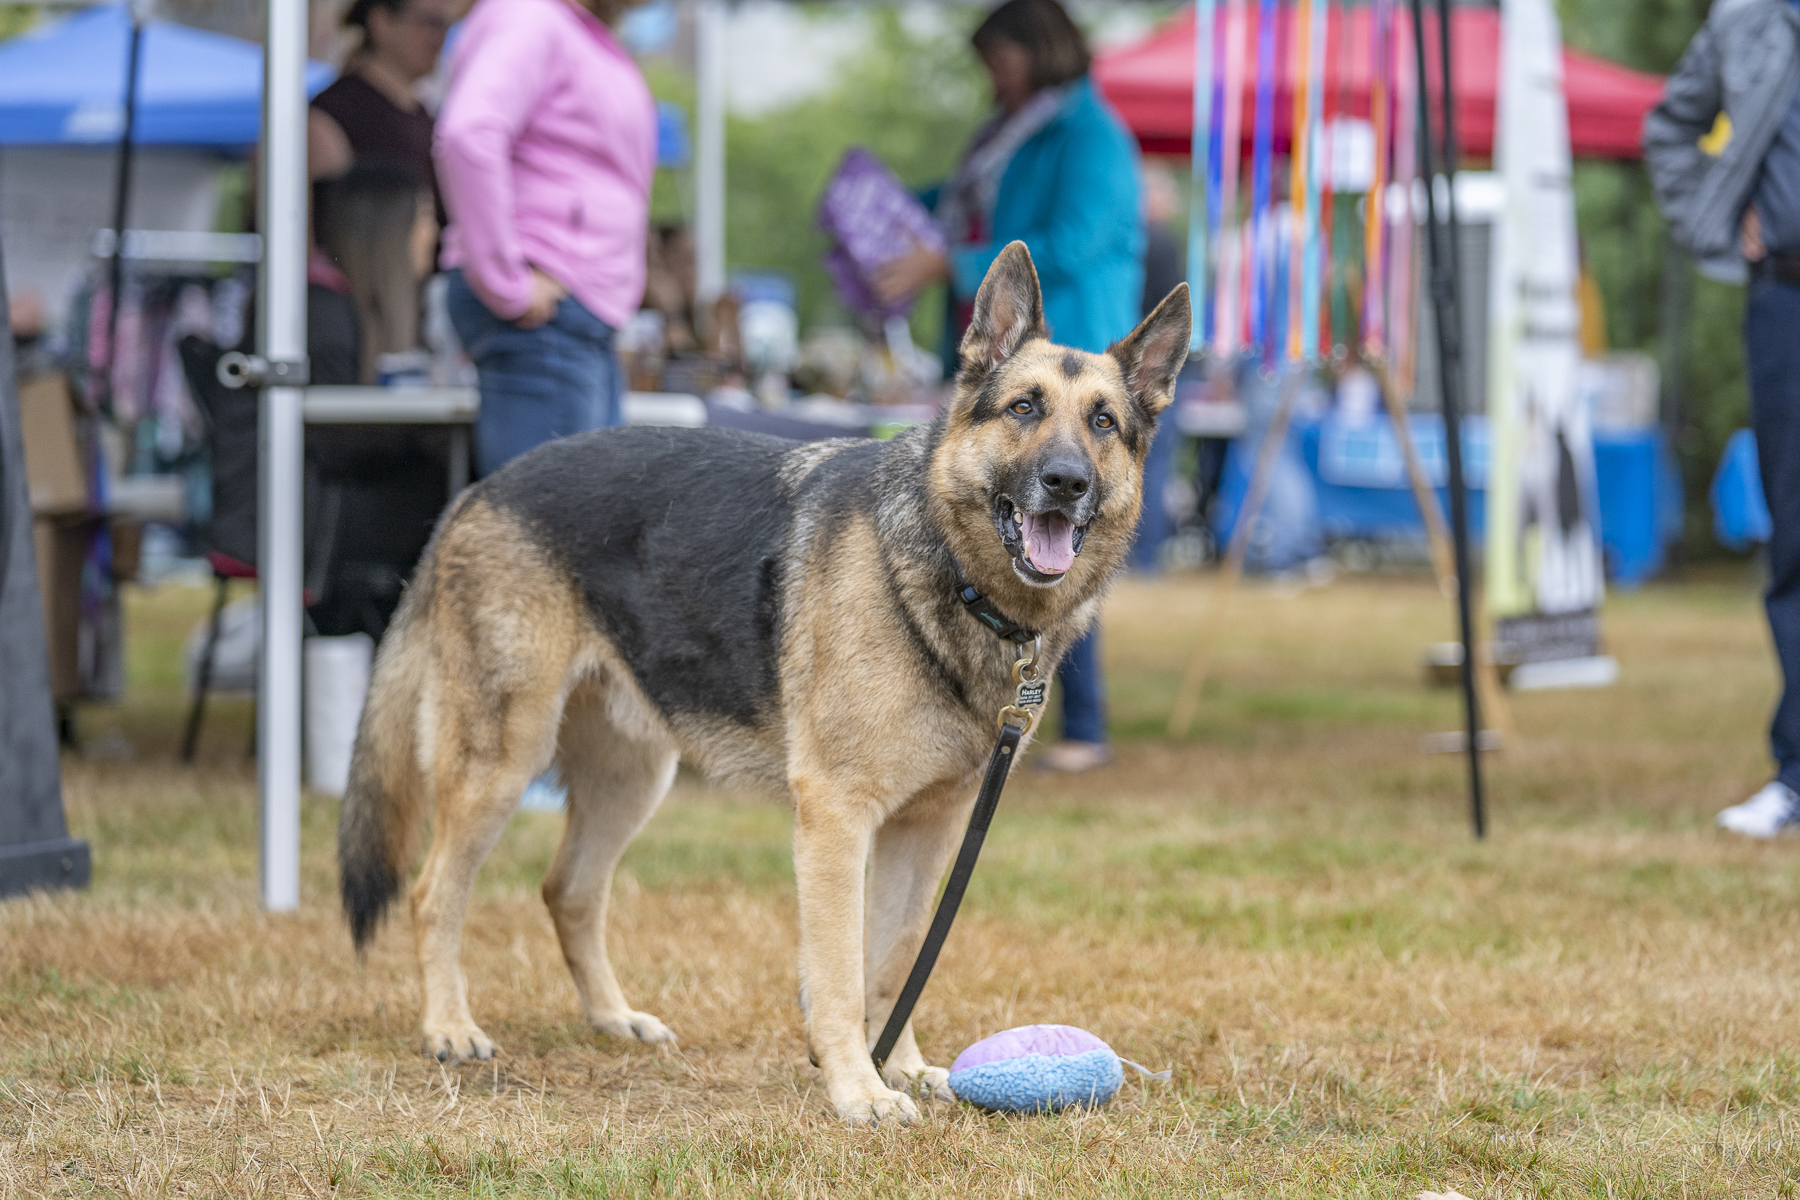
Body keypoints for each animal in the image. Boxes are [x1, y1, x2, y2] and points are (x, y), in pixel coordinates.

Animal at [342, 244, 1188, 1129]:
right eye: (1025, 407)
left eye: (1103, 424)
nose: (1065, 482)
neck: (955, 580)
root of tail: (479, 489)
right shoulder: (837, 819)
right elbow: (843, 969)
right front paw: (858, 1087)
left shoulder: (928, 830)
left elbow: (895, 959)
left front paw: (899, 1064)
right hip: (501, 763)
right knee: (433, 892)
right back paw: (448, 1027)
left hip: (630, 777)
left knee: (568, 890)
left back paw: (612, 1018)